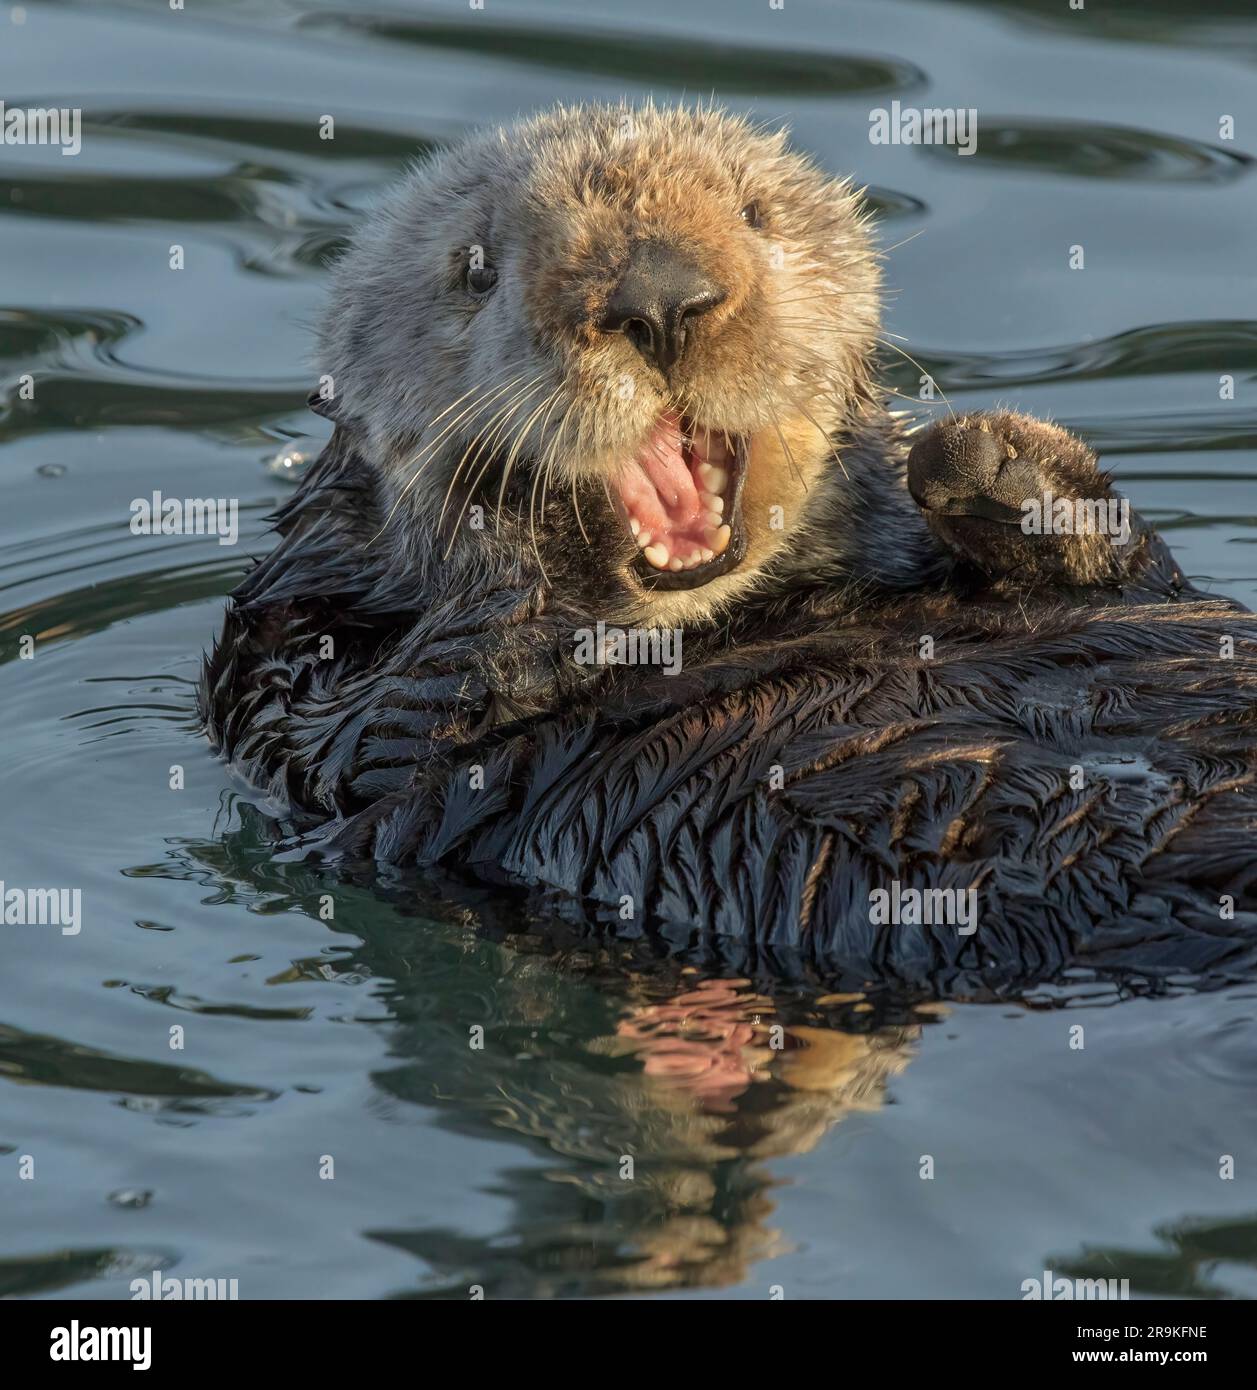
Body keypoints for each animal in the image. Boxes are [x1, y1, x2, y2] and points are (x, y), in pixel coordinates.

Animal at [198, 105, 1257, 1000]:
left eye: (756, 214)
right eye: (475, 268)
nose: (661, 301)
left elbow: (1137, 575)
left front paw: (996, 463)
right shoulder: (289, 689)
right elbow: (378, 724)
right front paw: (516, 532)